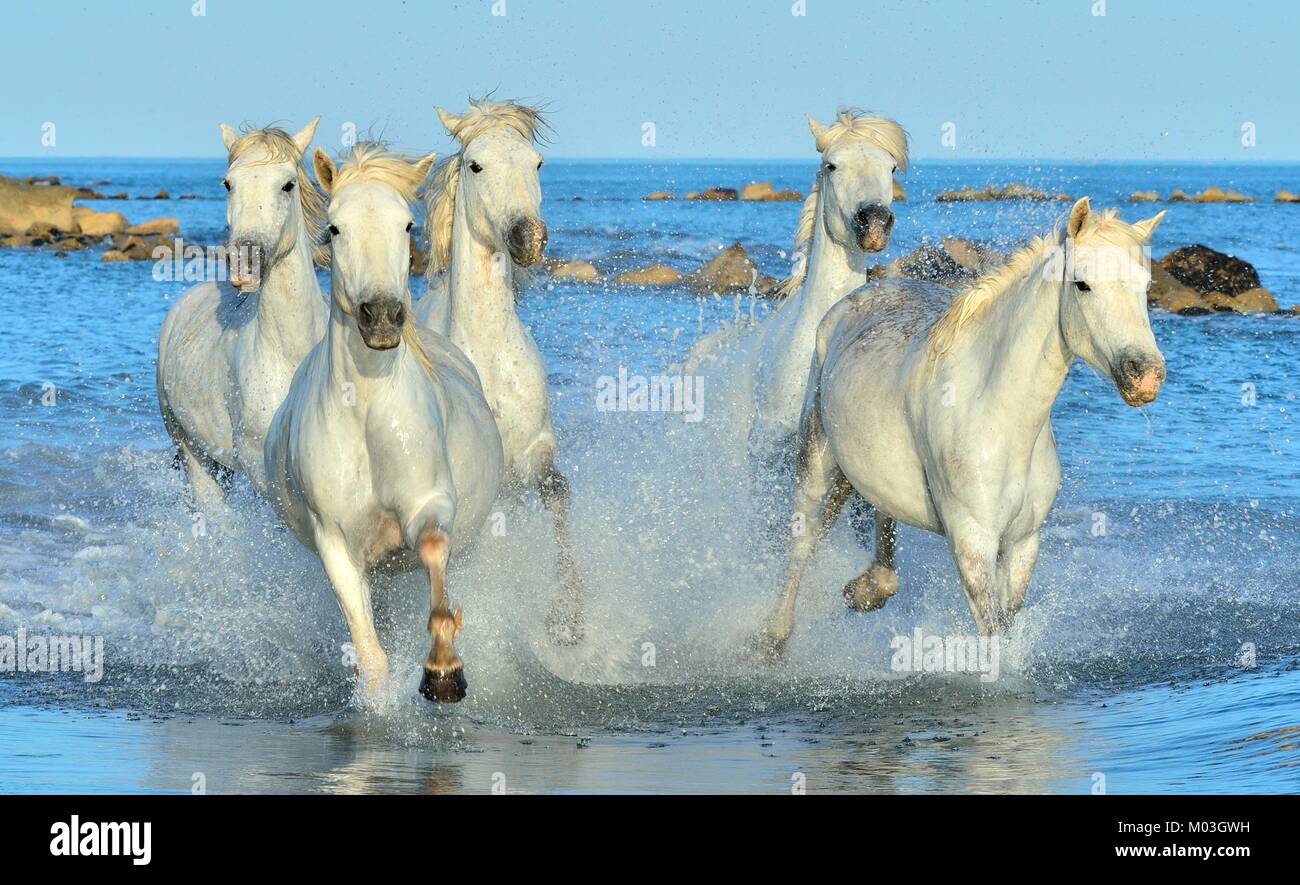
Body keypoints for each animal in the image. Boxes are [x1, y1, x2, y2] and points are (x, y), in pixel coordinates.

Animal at [157, 118, 328, 507]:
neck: (289, 354)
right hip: (196, 454)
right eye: (228, 183)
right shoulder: (265, 471)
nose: (244, 265)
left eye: (288, 184)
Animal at [264, 145, 504, 704]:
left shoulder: (430, 504)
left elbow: (434, 549)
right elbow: (369, 654)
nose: (383, 317)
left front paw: (444, 670)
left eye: (407, 224)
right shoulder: (336, 543)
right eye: (335, 228)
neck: (368, 413)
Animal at [413, 98, 586, 645]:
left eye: (537, 163)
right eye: (476, 165)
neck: (487, 359)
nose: (527, 238)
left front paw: (569, 615)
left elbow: (558, 493)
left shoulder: (534, 449)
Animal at [760, 198, 1167, 651]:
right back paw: (774, 637)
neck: (999, 418)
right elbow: (994, 640)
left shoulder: (1022, 545)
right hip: (815, 457)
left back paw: (866, 590)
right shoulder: (973, 545)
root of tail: (858, 295)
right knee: (803, 539)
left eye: (1145, 287)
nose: (1146, 376)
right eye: (1082, 284)